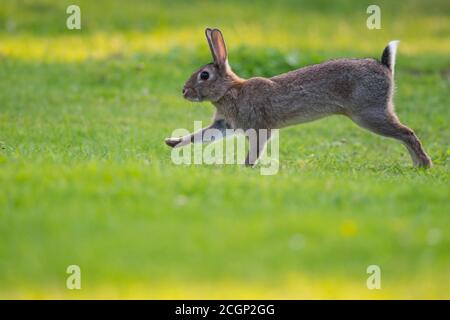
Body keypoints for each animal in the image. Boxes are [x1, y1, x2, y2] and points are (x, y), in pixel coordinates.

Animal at [165, 28, 432, 168]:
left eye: (204, 75)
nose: (184, 91)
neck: (229, 90)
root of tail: (385, 67)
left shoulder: (260, 127)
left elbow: (257, 147)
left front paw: (247, 166)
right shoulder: (225, 124)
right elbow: (199, 136)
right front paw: (172, 142)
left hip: (369, 113)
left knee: (407, 133)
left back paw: (423, 165)